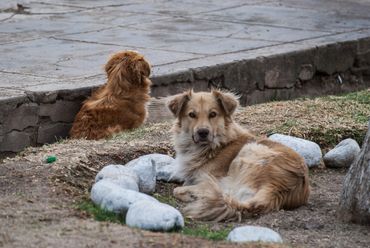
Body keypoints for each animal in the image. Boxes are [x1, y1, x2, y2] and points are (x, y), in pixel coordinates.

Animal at [167, 90, 310, 222]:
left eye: (213, 114)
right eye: (192, 115)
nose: (203, 132)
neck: (216, 146)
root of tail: (277, 188)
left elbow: (181, 187)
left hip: (249, 150)